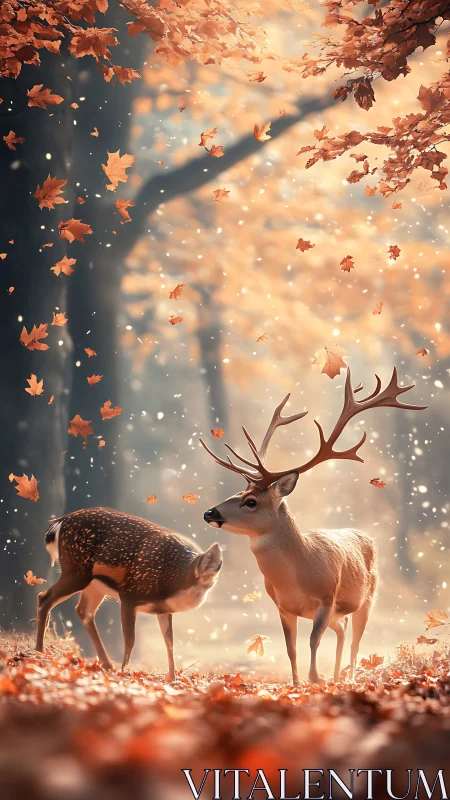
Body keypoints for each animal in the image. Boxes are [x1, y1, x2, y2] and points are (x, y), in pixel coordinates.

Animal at [36, 507, 222, 679]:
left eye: (211, 583)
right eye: (200, 578)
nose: (205, 596)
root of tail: (58, 523)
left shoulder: (162, 609)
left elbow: (169, 641)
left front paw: (172, 678)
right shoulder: (129, 596)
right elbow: (130, 639)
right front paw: (124, 671)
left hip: (94, 585)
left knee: (83, 611)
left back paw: (107, 664)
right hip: (76, 571)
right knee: (44, 597)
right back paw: (39, 650)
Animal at [201, 367, 426, 685]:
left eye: (251, 502)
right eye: (237, 492)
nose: (209, 512)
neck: (298, 571)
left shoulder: (327, 598)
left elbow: (313, 641)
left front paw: (314, 679)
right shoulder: (283, 606)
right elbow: (291, 648)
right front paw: (298, 683)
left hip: (368, 596)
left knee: (355, 639)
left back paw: (348, 678)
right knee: (342, 631)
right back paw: (336, 675)